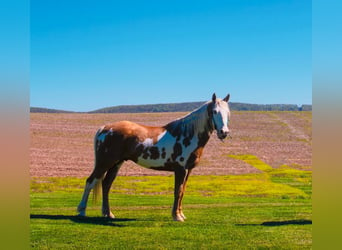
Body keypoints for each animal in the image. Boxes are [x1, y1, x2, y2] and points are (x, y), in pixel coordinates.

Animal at [77, 93, 231, 222]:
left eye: (228, 113)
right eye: (214, 111)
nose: (224, 132)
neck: (187, 134)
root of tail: (104, 128)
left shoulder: (188, 170)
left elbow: (182, 192)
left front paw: (181, 214)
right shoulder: (180, 169)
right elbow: (178, 191)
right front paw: (176, 216)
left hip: (116, 163)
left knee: (106, 184)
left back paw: (108, 213)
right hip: (104, 162)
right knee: (90, 181)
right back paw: (82, 211)